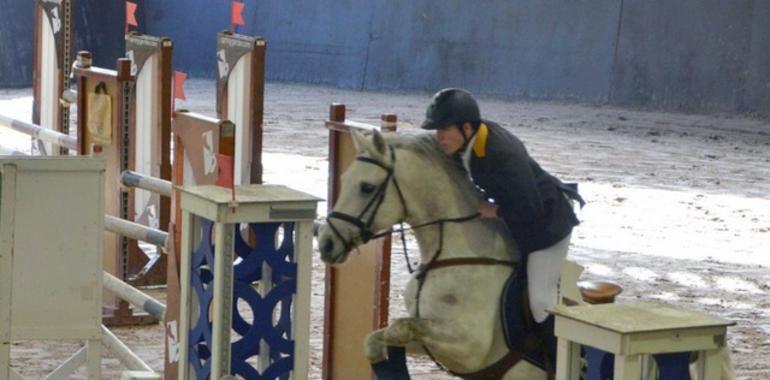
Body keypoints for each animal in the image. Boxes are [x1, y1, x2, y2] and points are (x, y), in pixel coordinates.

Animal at [316, 130, 544, 378]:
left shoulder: (469, 347)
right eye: (344, 179)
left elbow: (398, 328)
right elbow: (375, 341)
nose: (326, 243)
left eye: (366, 187)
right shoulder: (428, 342)